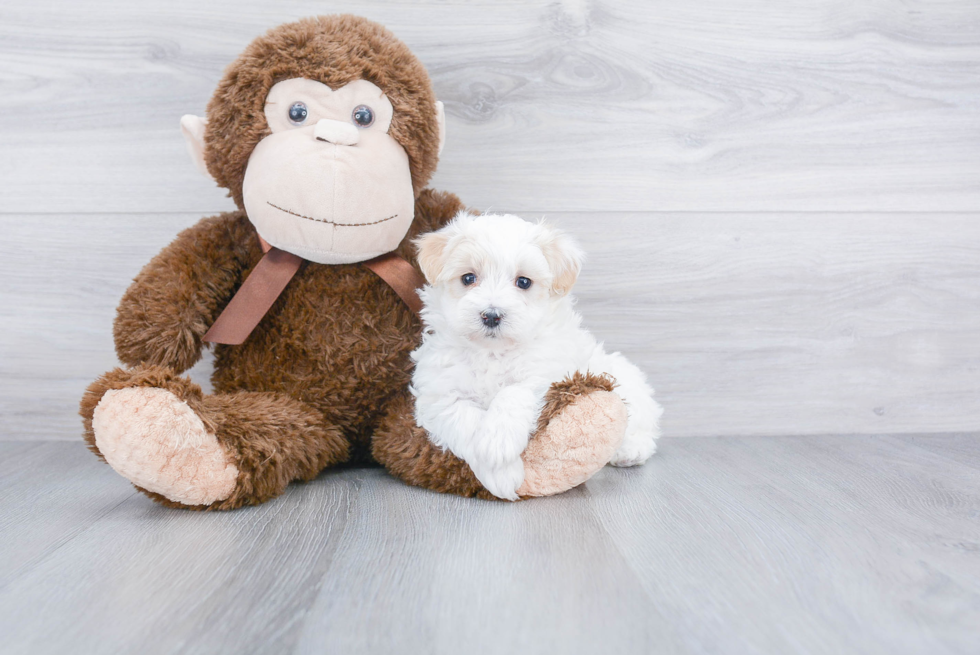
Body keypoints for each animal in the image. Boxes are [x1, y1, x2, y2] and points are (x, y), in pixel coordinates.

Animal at [410, 213, 664, 500]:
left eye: (523, 282)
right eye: (468, 278)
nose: (491, 315)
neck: (492, 352)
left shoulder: (547, 374)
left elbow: (513, 393)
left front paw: (498, 442)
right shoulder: (439, 393)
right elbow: (463, 419)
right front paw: (498, 471)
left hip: (625, 379)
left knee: (641, 423)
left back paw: (629, 450)